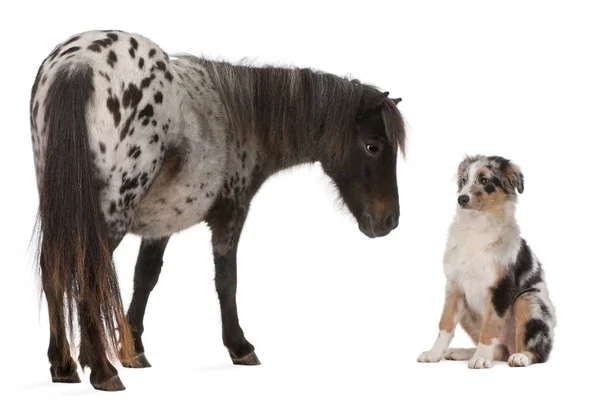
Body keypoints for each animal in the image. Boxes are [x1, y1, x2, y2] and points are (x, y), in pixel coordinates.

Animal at [31, 29, 408, 390]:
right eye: (373, 147)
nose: (389, 220)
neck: (238, 115)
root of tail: (78, 65)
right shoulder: (232, 212)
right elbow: (227, 280)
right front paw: (240, 347)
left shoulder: (162, 223)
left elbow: (146, 277)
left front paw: (133, 349)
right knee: (87, 274)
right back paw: (102, 370)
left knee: (55, 269)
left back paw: (64, 365)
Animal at [418, 155, 556, 368]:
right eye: (464, 180)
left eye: (484, 180)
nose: (461, 199)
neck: (477, 226)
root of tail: (510, 349)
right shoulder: (455, 286)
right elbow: (445, 323)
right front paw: (434, 354)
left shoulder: (502, 288)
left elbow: (490, 325)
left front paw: (482, 358)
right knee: (499, 351)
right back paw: (462, 352)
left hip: (528, 300)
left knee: (539, 353)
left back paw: (521, 356)